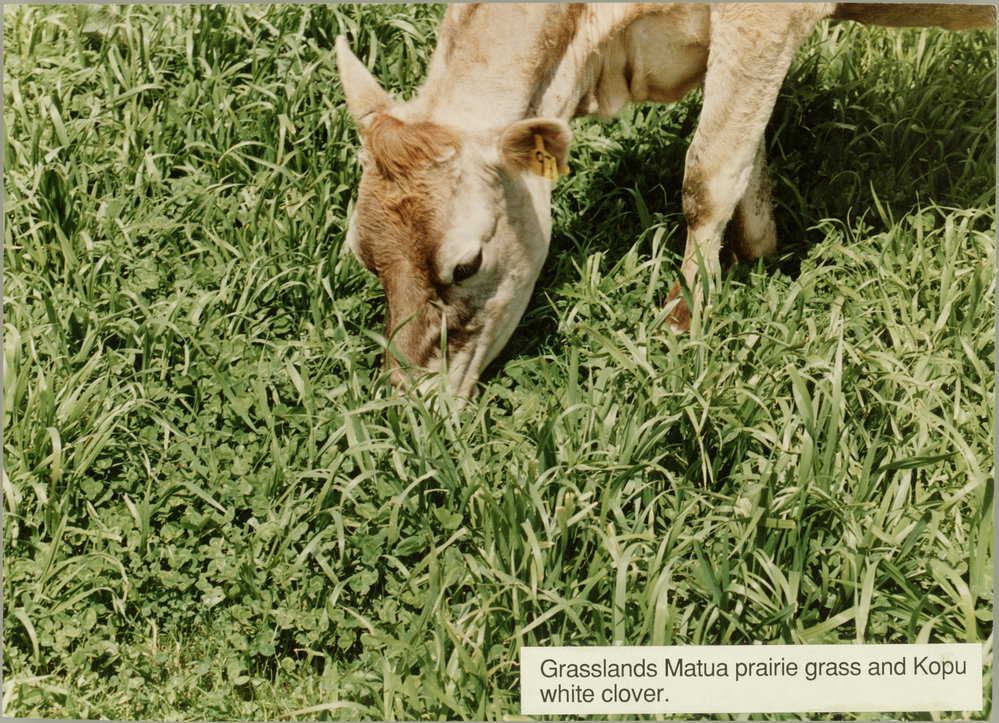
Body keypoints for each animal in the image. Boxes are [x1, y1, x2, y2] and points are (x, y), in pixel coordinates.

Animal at [336, 3, 994, 398]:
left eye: (467, 263)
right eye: (363, 259)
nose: (408, 403)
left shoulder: (763, 19)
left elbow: (707, 175)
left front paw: (683, 321)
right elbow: (745, 157)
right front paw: (759, 256)